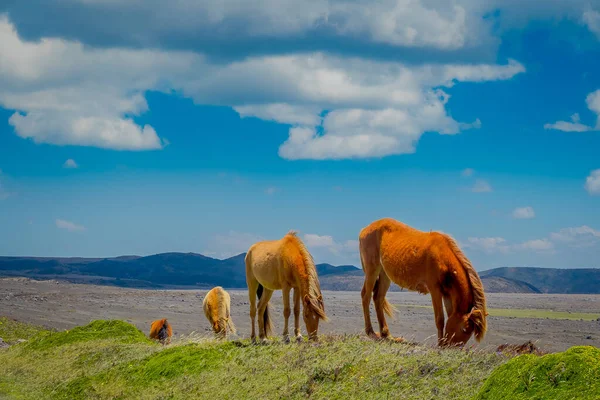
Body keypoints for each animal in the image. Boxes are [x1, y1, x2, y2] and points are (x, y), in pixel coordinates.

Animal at [358, 217, 486, 346]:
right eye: (464, 329)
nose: (451, 347)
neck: (443, 258)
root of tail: (365, 229)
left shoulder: (448, 294)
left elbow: (449, 315)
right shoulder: (435, 290)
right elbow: (440, 319)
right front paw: (439, 344)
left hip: (384, 274)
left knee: (378, 298)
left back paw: (387, 335)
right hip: (372, 269)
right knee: (366, 296)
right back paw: (371, 332)